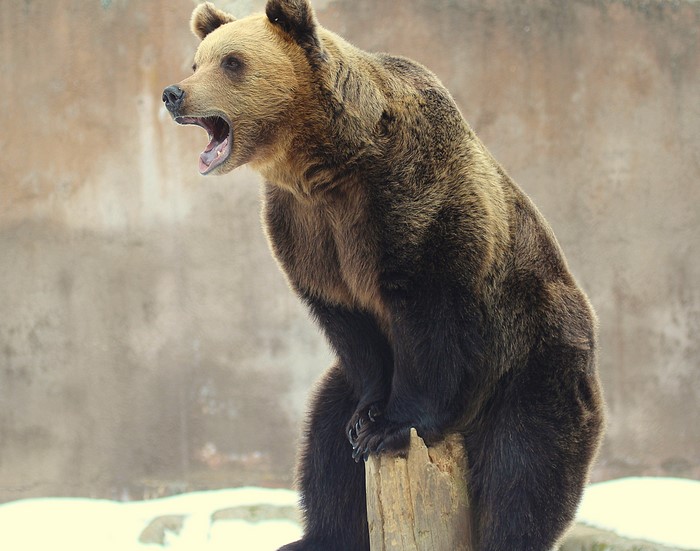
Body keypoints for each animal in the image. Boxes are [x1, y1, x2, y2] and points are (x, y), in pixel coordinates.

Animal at [162, 2, 605, 550]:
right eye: (197, 61)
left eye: (232, 62)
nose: (174, 93)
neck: (325, 164)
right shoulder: (306, 230)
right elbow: (350, 328)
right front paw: (368, 418)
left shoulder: (410, 201)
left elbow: (431, 318)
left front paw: (392, 425)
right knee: (324, 442)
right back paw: (314, 532)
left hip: (533, 363)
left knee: (524, 470)